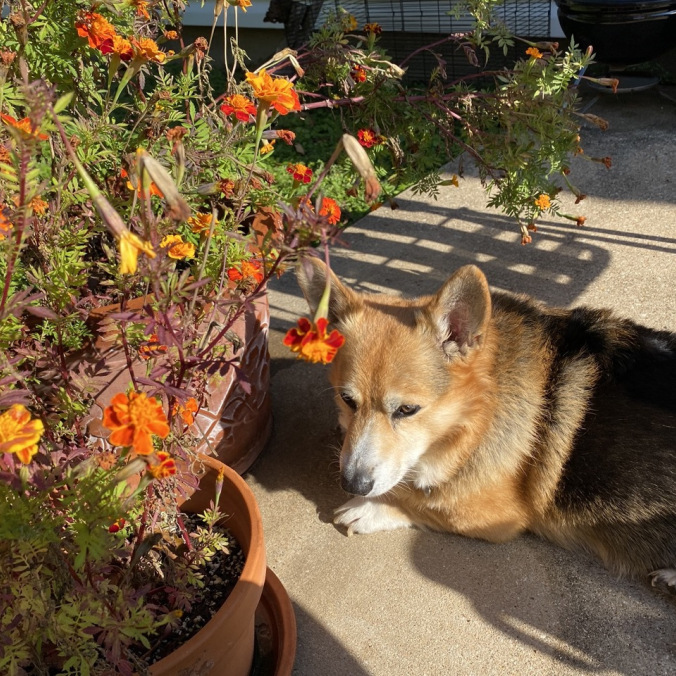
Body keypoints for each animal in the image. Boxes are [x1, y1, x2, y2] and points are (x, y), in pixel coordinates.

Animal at [300, 258, 676, 592]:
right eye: (347, 400)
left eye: (407, 410)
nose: (351, 484)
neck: (475, 413)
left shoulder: (494, 516)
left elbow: (421, 501)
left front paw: (369, 509)